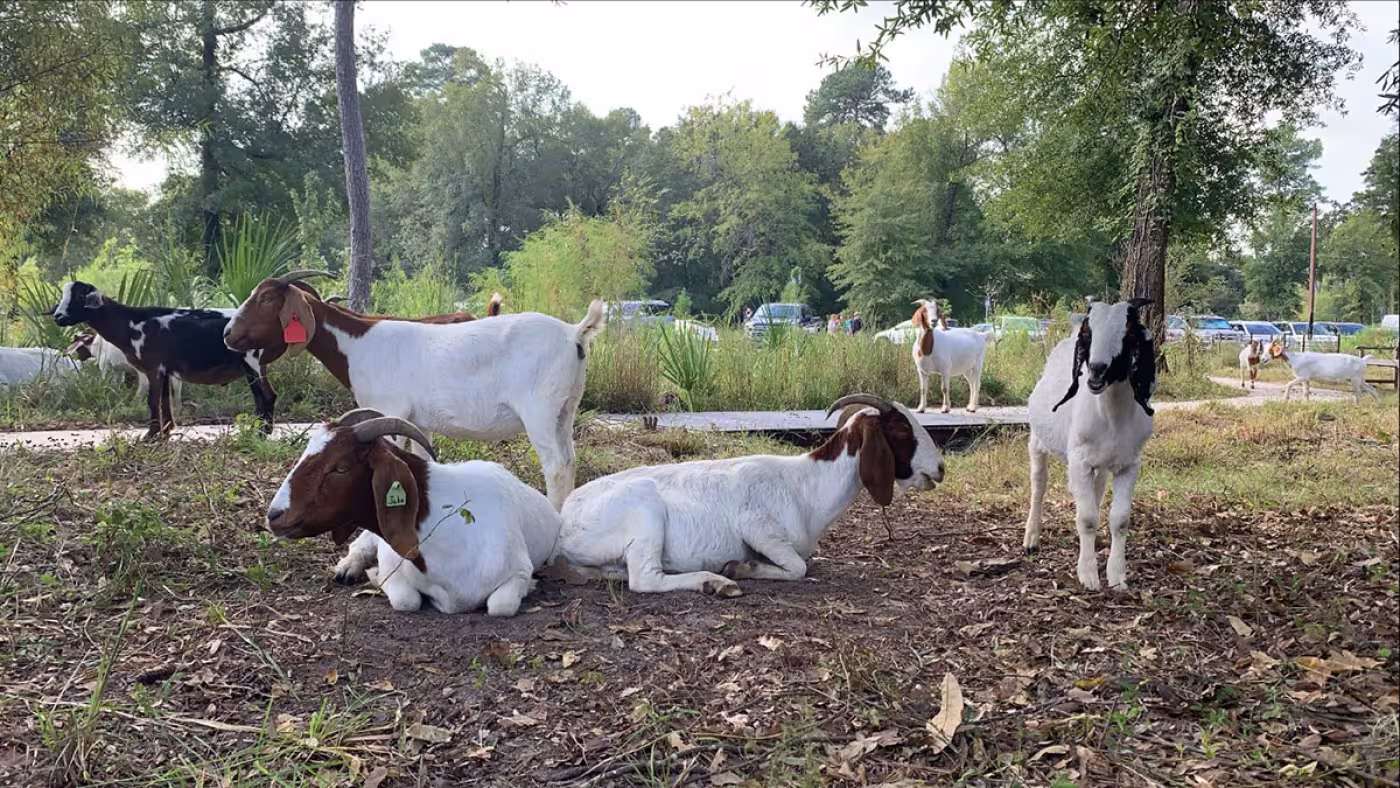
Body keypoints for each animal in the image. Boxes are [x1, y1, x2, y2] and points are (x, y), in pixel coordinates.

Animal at [52, 281, 278, 439]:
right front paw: (166, 431)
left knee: (268, 396)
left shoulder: (153, 367)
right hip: (249, 366)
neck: (130, 323)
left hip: (253, 360)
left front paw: (151, 435)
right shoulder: (164, 369)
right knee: (260, 397)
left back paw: (263, 434)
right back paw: (258, 431)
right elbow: (164, 400)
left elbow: (152, 401)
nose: (58, 317)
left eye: (80, 295)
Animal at [224, 272, 604, 510]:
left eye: (266, 298)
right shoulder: (418, 422)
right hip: (565, 408)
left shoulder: (388, 410)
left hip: (539, 410)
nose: (228, 334)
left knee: (555, 466)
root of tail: (574, 333)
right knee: (569, 460)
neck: (358, 345)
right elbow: (424, 461)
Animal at [267, 408, 560, 615]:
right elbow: (406, 599)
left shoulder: (517, 571)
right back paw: (347, 567)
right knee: (360, 544)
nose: (274, 515)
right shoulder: (393, 562)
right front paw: (374, 575)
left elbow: (501, 606)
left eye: (340, 467)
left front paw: (532, 586)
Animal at [554, 394, 945, 597]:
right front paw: (741, 567)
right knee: (644, 579)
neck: (807, 486)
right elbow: (799, 567)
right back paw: (716, 582)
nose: (940, 468)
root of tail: (564, 520)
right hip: (645, 515)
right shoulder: (758, 527)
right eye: (901, 429)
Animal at [1023, 299, 1156, 591]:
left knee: (1096, 491)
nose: (1096, 368)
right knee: (1039, 484)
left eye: (1128, 334)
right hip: (1038, 440)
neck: (1111, 416)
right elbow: (1086, 518)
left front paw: (1117, 576)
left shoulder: (1129, 464)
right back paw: (1031, 538)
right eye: (1089, 333)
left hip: (1102, 463)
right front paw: (1088, 576)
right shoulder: (1079, 461)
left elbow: (1120, 519)